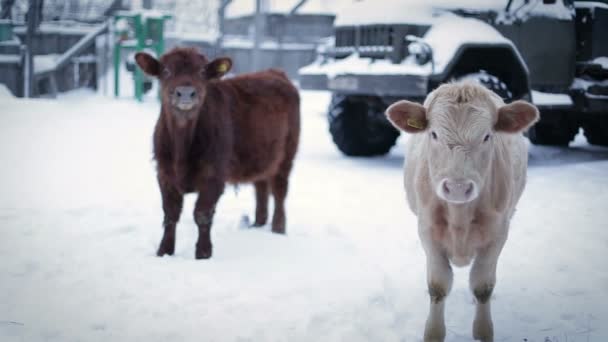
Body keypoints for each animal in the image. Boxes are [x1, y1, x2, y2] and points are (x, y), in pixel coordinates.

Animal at [137, 47, 300, 260]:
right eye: (166, 71)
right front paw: (164, 251)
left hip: (287, 155)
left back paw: (278, 229)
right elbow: (170, 214)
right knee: (261, 187)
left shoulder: (213, 176)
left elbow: (202, 213)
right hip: (261, 157)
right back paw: (257, 224)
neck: (182, 146)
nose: (186, 93)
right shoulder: (164, 174)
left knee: (280, 191)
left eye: (201, 72)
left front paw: (203, 253)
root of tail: (275, 72)